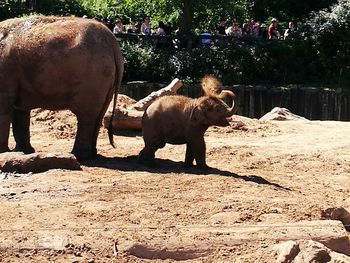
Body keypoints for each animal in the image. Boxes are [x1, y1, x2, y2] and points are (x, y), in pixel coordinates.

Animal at [0, 16, 124, 162]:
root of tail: (113, 43)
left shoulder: (5, 71)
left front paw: (5, 152)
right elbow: (20, 110)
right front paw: (24, 152)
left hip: (94, 77)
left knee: (86, 115)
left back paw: (79, 156)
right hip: (107, 79)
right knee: (99, 115)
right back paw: (91, 154)